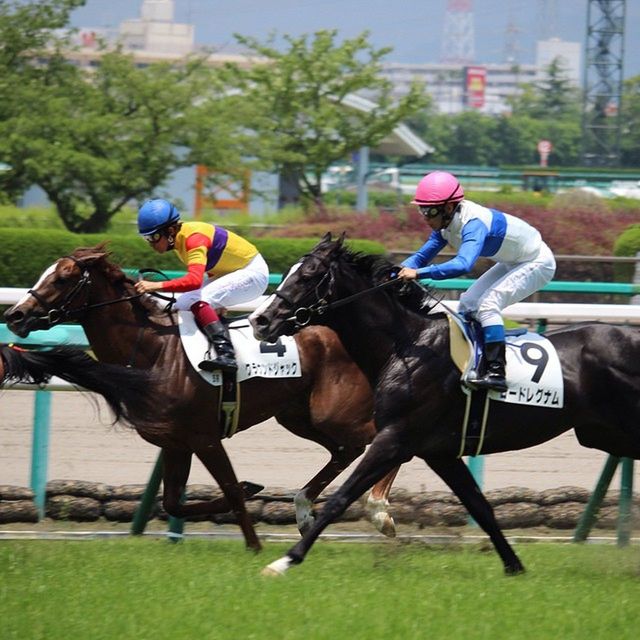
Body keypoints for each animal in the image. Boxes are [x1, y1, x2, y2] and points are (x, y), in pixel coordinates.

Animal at [6, 242, 400, 548]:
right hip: (298, 416)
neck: (155, 351)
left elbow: (231, 491)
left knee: (379, 440)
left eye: (62, 278)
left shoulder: (205, 437)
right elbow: (174, 503)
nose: (15, 315)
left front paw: (254, 546)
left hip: (333, 412)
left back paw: (378, 510)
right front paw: (250, 488)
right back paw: (310, 510)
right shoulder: (175, 443)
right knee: (347, 450)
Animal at [252, 234, 640, 576]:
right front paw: (514, 567)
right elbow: (480, 507)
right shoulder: (439, 452)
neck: (406, 346)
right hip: (603, 433)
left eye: (308, 274)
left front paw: (284, 561)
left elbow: (339, 499)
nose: (260, 320)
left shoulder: (394, 438)